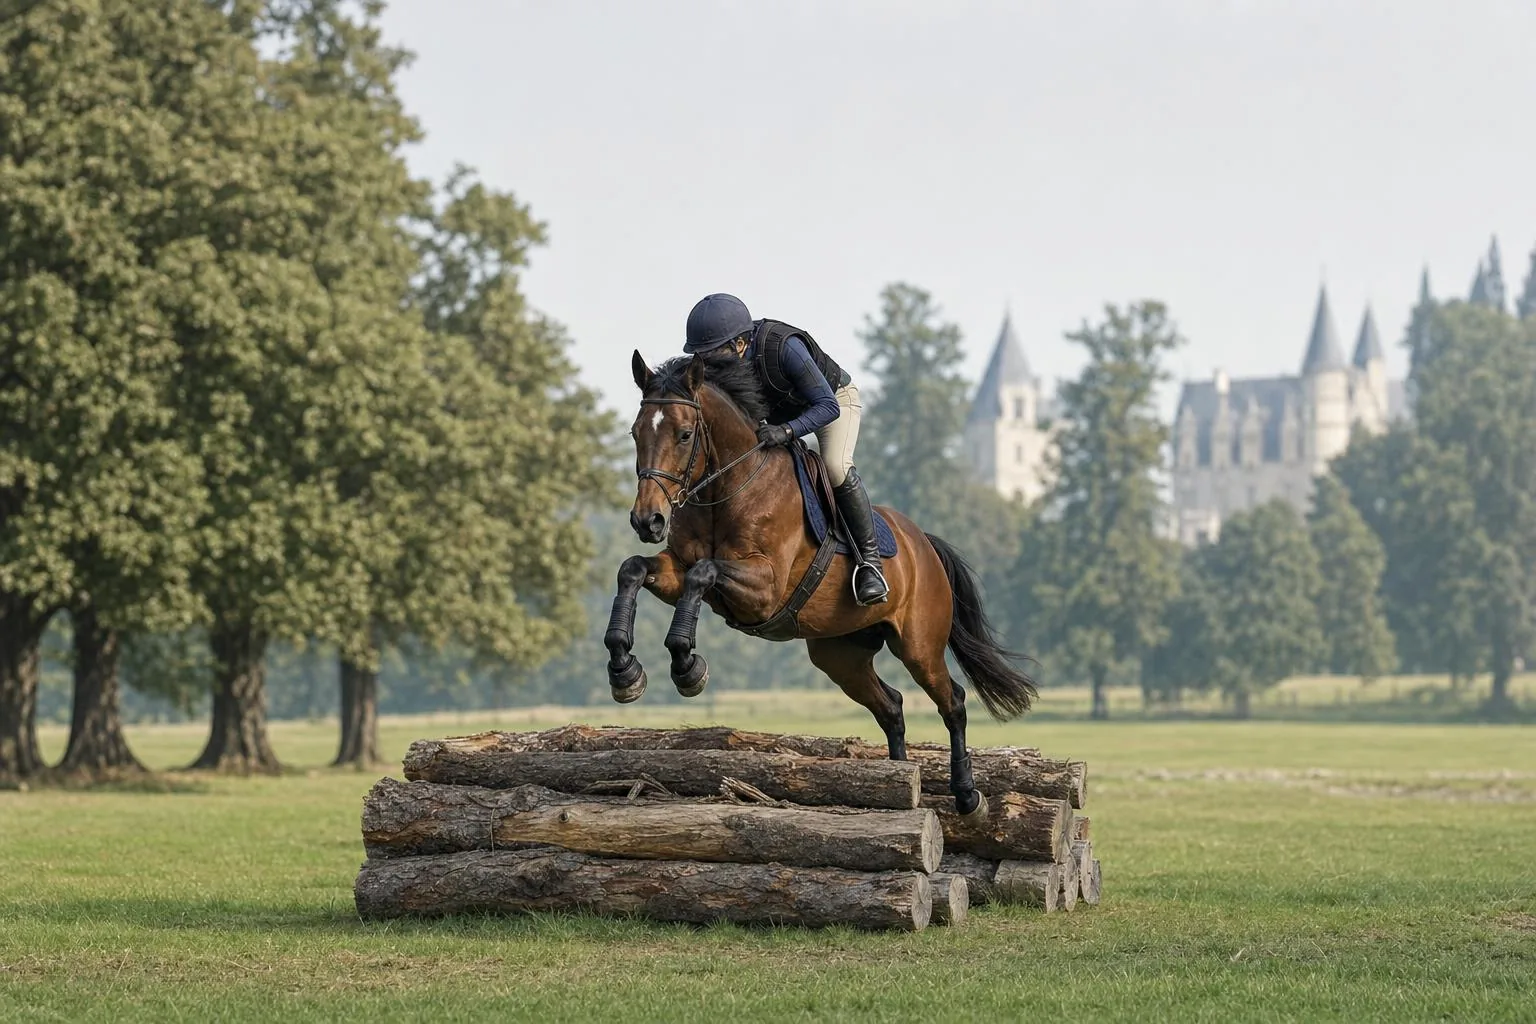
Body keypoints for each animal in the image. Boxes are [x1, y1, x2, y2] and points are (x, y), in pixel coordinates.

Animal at [602, 350, 1036, 815]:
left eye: (685, 435)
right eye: (635, 432)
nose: (647, 521)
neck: (727, 487)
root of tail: (923, 543)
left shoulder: (764, 589)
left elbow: (703, 574)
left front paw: (687, 666)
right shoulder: (676, 568)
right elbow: (633, 569)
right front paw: (625, 671)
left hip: (919, 645)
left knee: (952, 702)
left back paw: (968, 795)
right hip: (840, 655)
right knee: (891, 707)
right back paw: (898, 781)